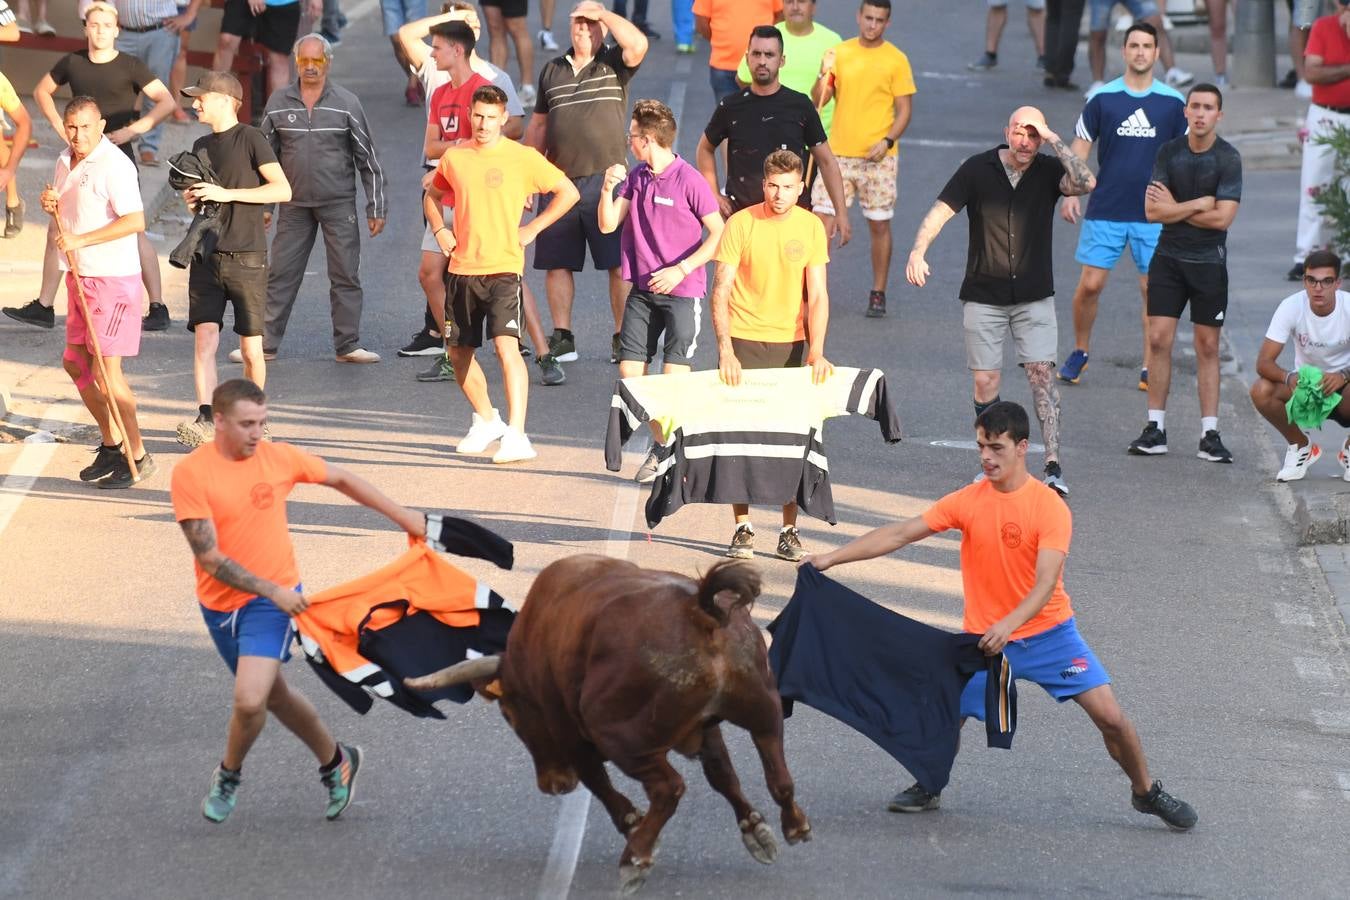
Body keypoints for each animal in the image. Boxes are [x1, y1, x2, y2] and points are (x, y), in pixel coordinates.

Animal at [405, 555, 810, 895]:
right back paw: (791, 826)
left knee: (668, 787)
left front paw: (633, 825)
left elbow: (597, 782)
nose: (553, 785)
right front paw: (755, 829)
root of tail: (698, 610)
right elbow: (723, 774)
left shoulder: (570, 734)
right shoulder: (707, 729)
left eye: (509, 713)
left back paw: (636, 856)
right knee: (778, 775)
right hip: (764, 708)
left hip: (619, 737)